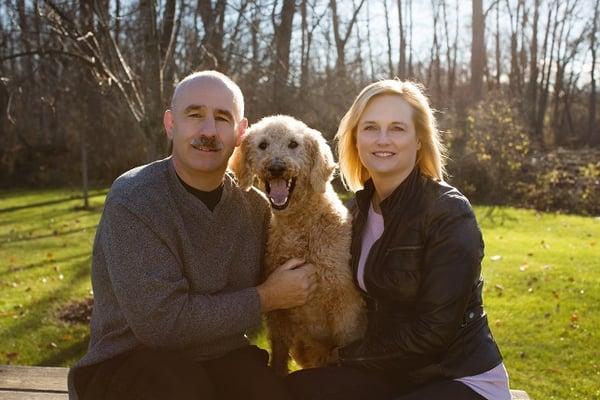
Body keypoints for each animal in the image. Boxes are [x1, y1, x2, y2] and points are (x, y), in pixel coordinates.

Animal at [230, 115, 366, 376]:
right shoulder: (279, 316)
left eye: (293, 144)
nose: (276, 167)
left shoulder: (346, 308)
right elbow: (279, 360)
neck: (300, 226)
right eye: (263, 145)